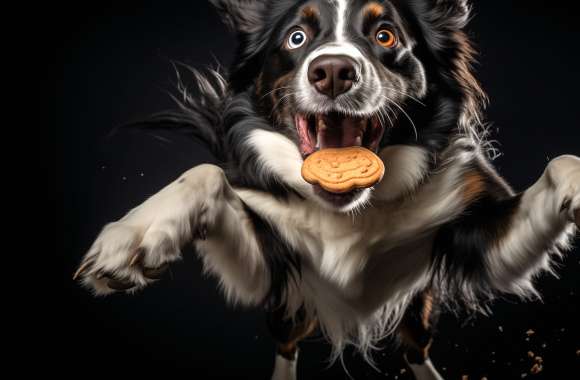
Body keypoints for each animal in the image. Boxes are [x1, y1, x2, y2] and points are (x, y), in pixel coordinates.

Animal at [73, 1, 580, 378]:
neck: (350, 210)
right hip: (291, 311)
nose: (333, 71)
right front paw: (134, 235)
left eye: (386, 36)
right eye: (296, 38)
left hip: (419, 307)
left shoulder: (478, 237)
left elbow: (560, 163)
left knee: (415, 347)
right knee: (287, 344)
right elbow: (205, 174)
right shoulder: (268, 271)